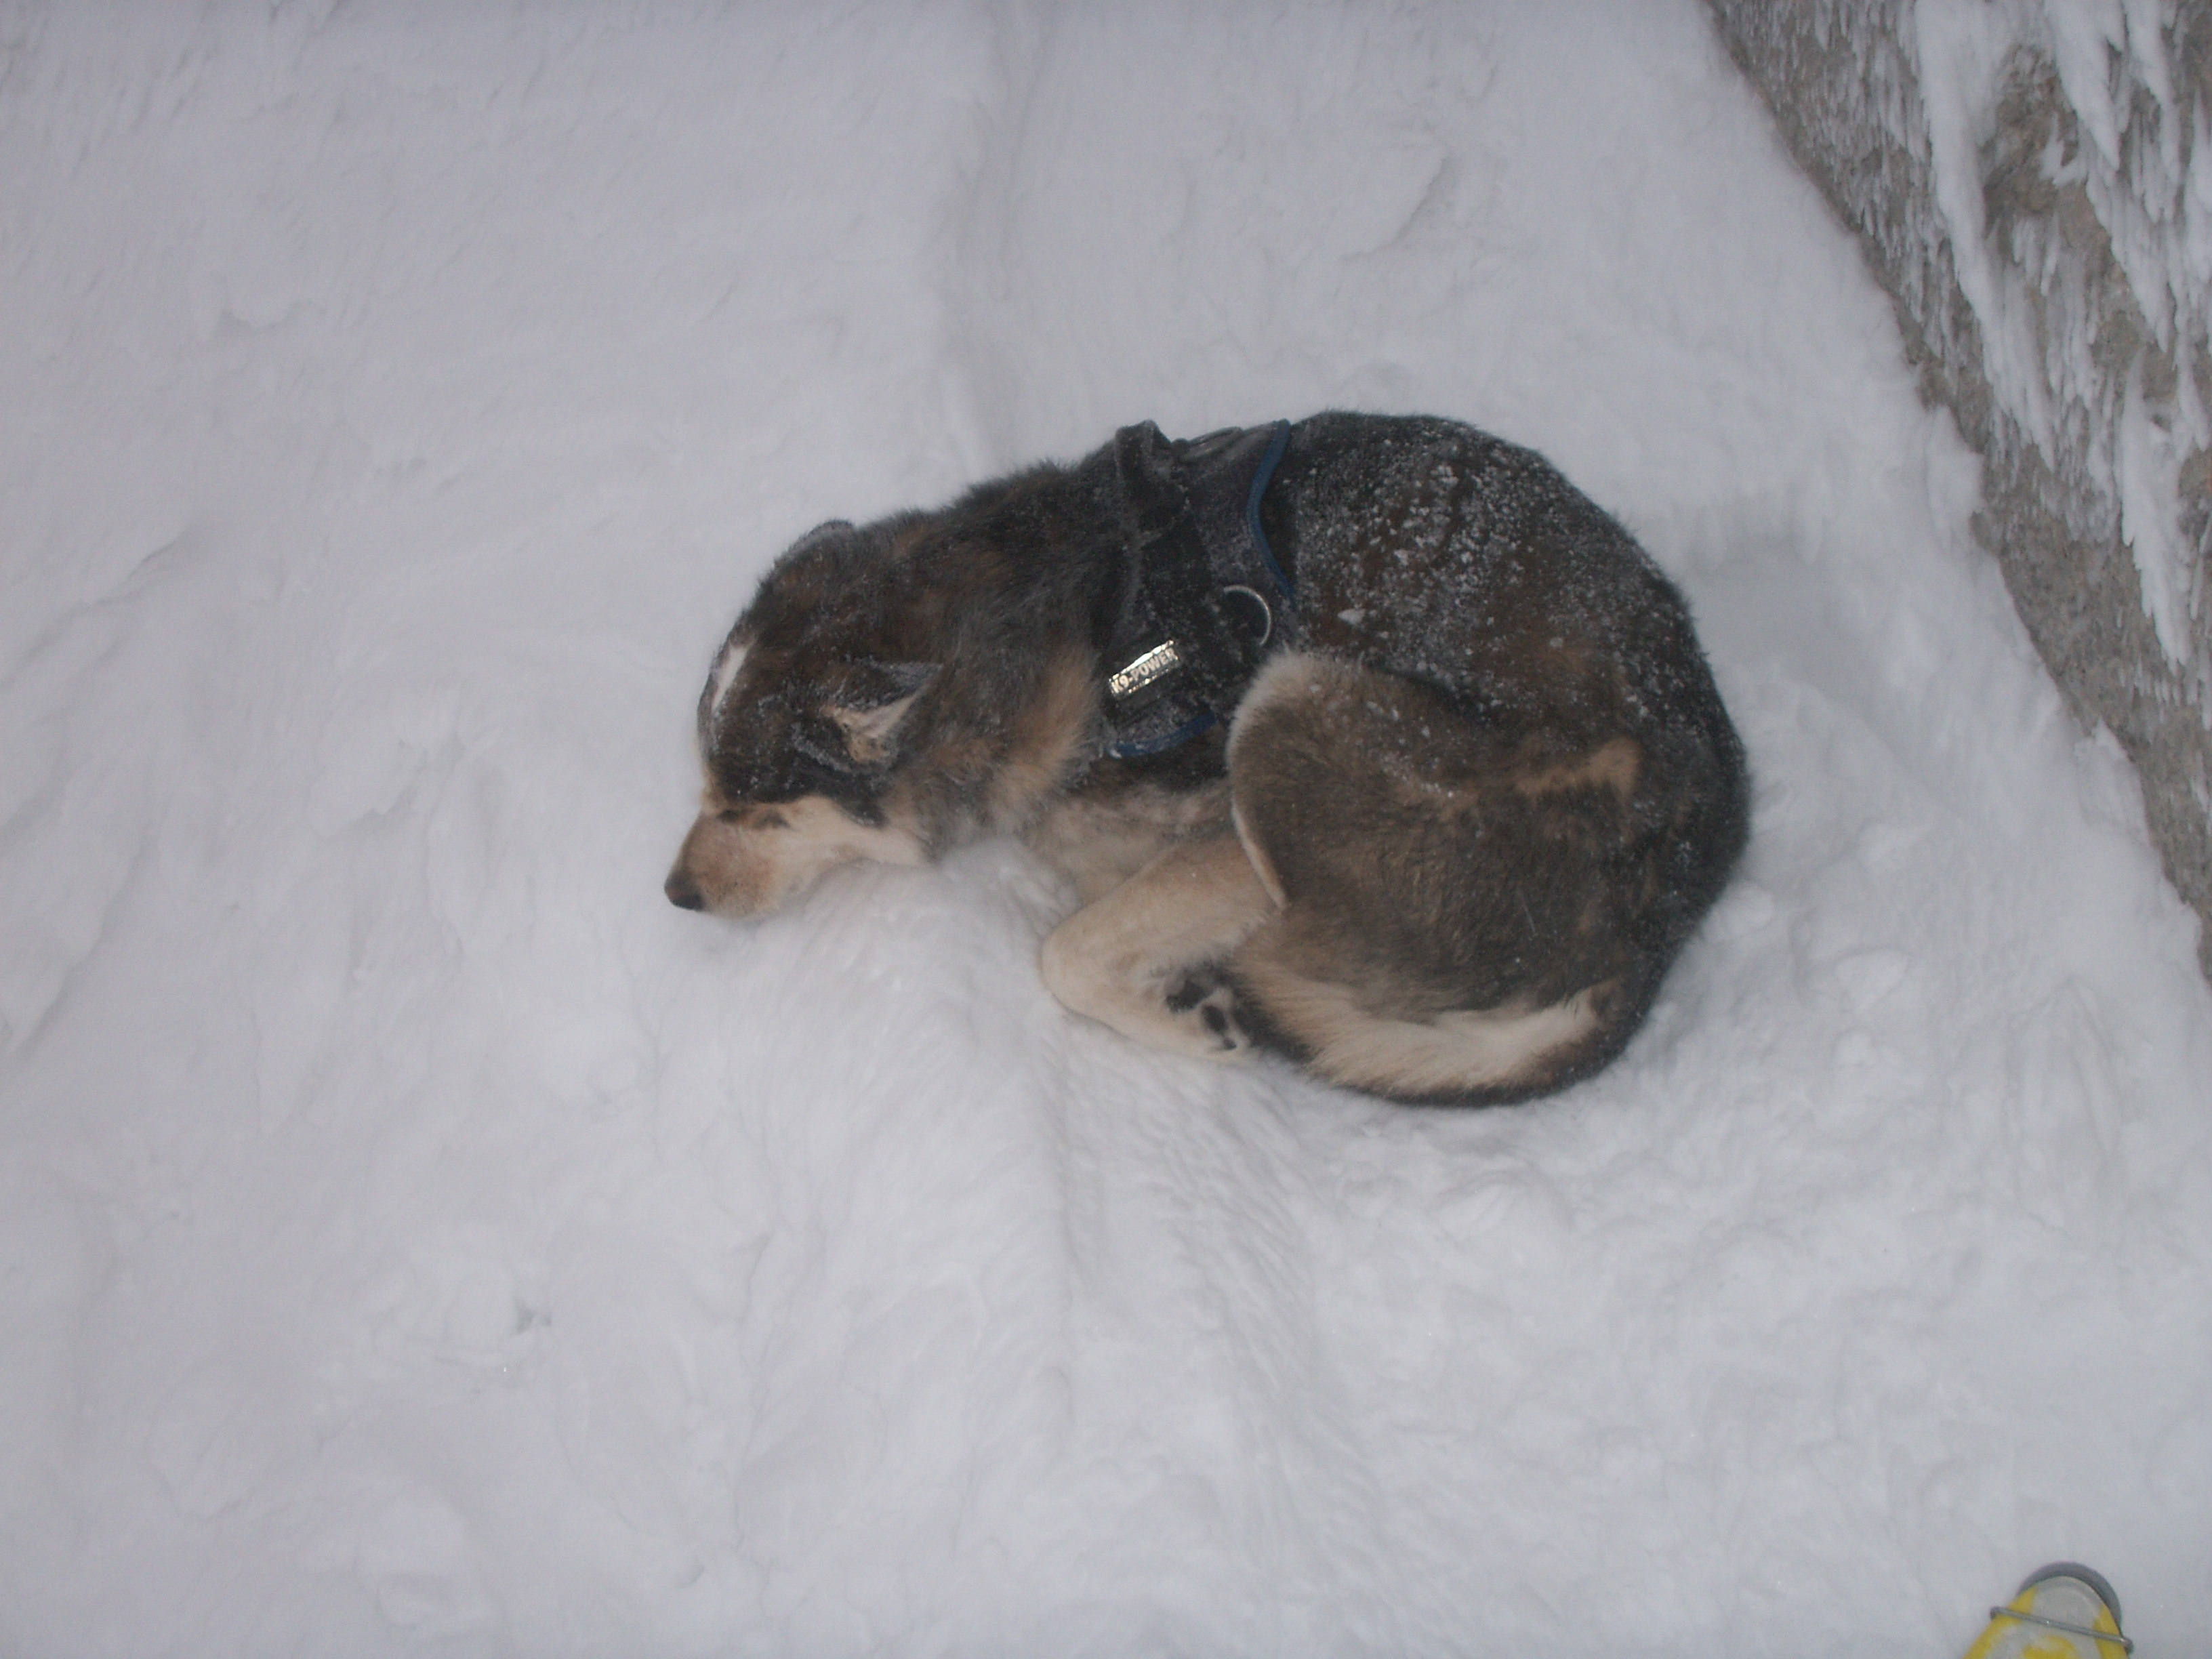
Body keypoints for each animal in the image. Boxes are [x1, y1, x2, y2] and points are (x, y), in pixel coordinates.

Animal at [666, 413, 1748, 1105]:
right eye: (706, 791)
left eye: (755, 812)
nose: (676, 895)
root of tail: (1673, 909)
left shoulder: (1223, 843)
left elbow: (1067, 953)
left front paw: (1184, 1016)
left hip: (1292, 710)